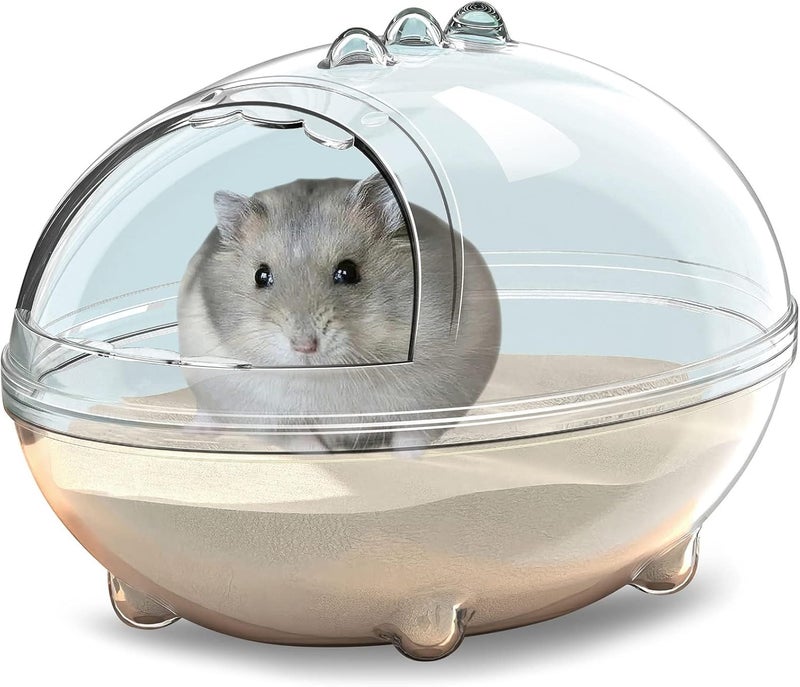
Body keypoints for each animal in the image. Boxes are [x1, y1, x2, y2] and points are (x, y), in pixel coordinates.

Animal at [177, 174, 501, 453]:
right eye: (260, 276)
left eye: (348, 271)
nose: (304, 347)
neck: (324, 374)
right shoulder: (268, 417)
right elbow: (303, 442)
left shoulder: (437, 399)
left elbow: (412, 437)